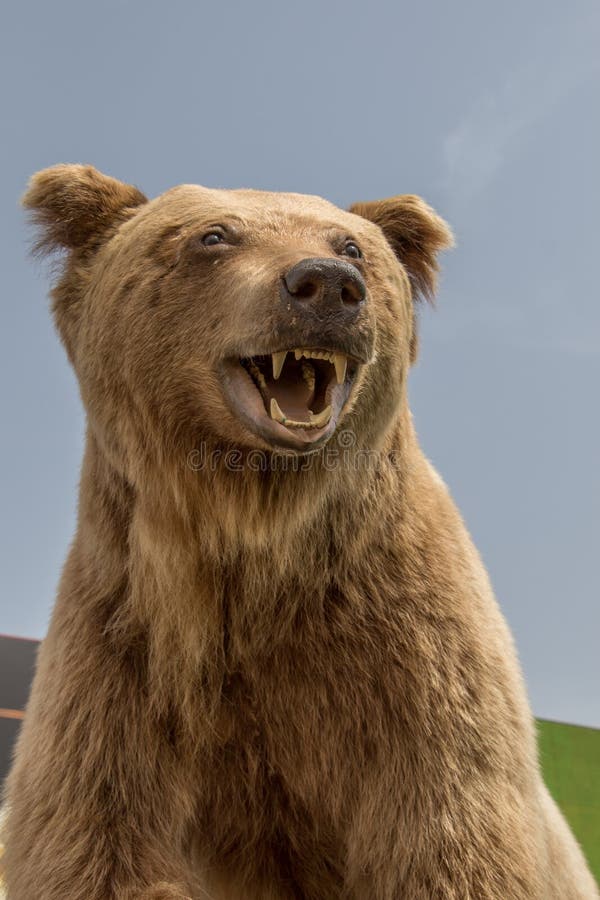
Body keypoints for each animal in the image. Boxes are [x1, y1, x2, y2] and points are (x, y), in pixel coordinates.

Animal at [2, 164, 597, 899]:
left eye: (351, 246)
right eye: (214, 235)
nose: (328, 287)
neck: (256, 527)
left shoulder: (414, 660)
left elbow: (448, 838)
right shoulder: (123, 650)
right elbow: (99, 837)